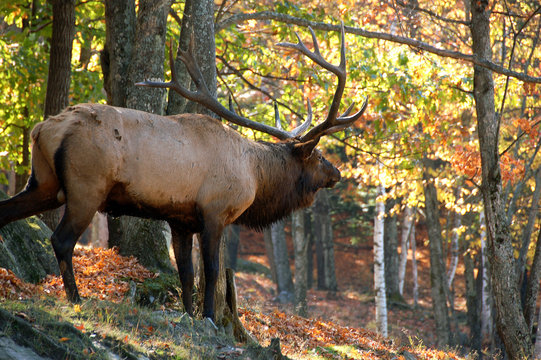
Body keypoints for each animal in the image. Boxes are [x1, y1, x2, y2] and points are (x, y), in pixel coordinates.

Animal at [0, 23, 368, 320]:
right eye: (318, 155)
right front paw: (208, 317)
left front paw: (189, 315)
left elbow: (186, 273)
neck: (255, 176)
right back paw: (76, 299)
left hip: (44, 183)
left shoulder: (180, 219)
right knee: (61, 239)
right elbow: (211, 271)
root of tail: (43, 129)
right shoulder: (215, 211)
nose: (337, 173)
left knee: (7, 212)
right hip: (86, 186)